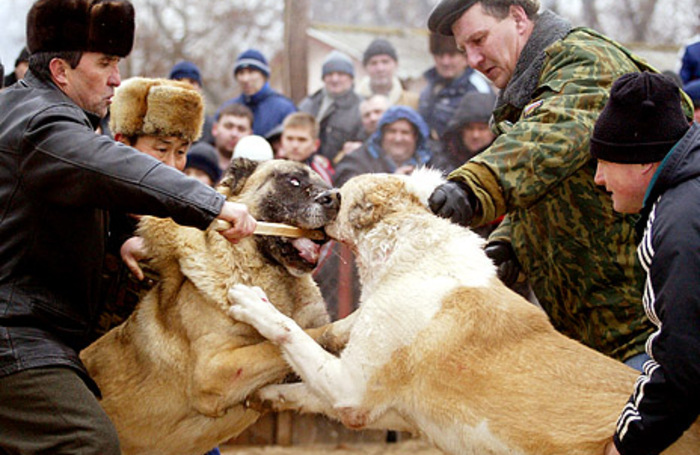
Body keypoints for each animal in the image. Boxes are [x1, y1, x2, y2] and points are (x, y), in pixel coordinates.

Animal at [230, 170, 700, 455]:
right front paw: (265, 395)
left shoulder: (351, 388)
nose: (326, 195)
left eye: (342, 193)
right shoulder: (381, 405)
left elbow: (290, 332)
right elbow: (301, 387)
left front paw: (253, 304)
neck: (406, 249)